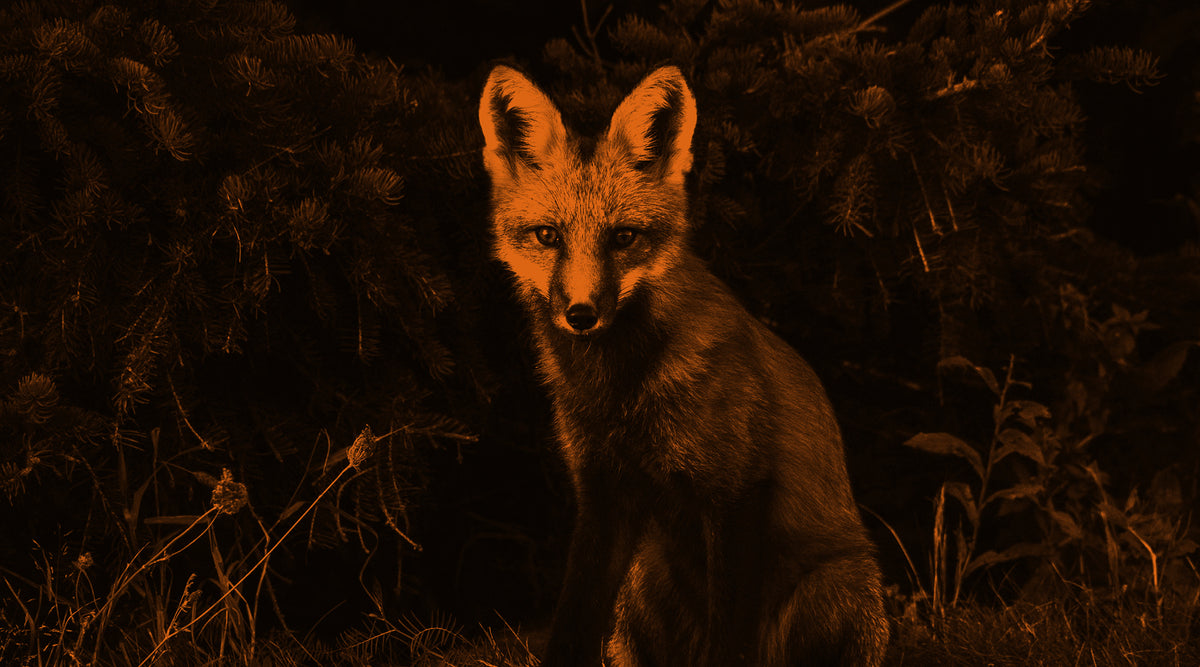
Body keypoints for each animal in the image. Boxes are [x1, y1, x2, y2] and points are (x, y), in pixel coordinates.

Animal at [478, 64, 889, 667]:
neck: (621, 391)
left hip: (839, 583)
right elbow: (572, 620)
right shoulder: (602, 494)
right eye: (547, 236)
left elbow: (730, 641)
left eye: (623, 237)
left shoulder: (737, 490)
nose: (581, 314)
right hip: (642, 578)